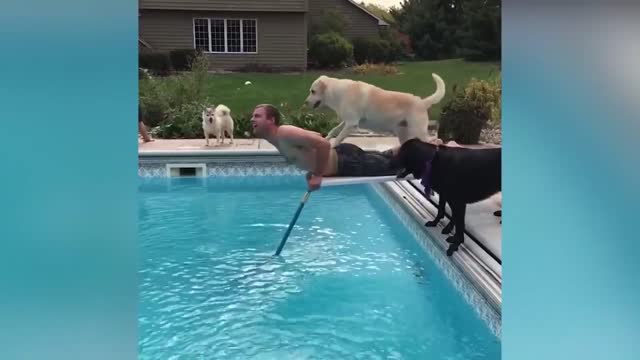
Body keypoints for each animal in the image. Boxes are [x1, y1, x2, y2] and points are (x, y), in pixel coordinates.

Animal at [304, 72, 444, 146]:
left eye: (313, 91)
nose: (305, 103)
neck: (339, 92)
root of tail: (422, 101)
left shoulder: (351, 124)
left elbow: (338, 139)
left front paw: (331, 146)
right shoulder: (347, 122)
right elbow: (333, 131)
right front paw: (325, 139)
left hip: (419, 131)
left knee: (434, 142)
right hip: (404, 133)